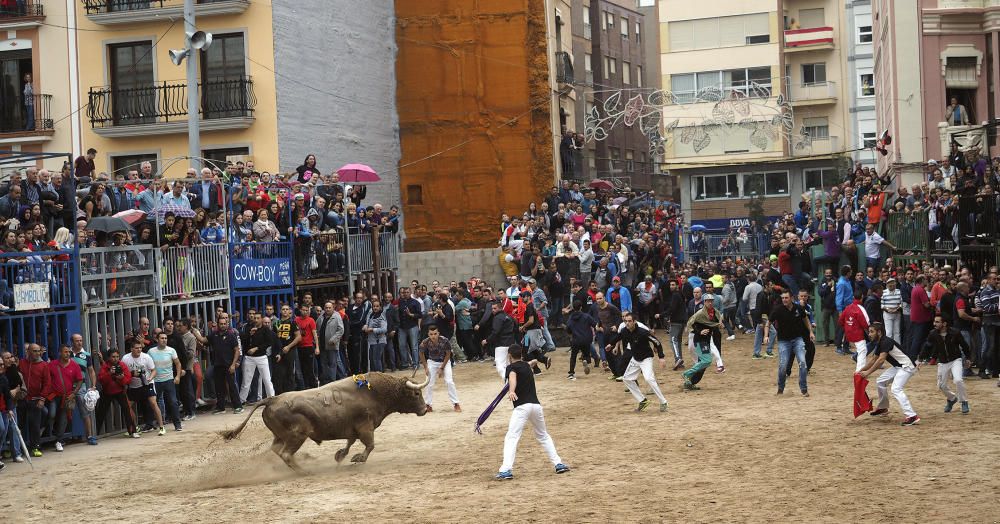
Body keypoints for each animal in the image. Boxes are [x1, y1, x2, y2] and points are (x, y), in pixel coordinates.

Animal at [221, 372, 428, 470]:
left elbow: (350, 443)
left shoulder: (353, 428)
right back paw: (304, 471)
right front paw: (358, 458)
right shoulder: (365, 427)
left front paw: (340, 455)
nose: (425, 409)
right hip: (298, 435)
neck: (375, 392)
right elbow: (370, 445)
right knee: (286, 454)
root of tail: (272, 399)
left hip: (281, 436)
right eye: (416, 394)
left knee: (276, 450)